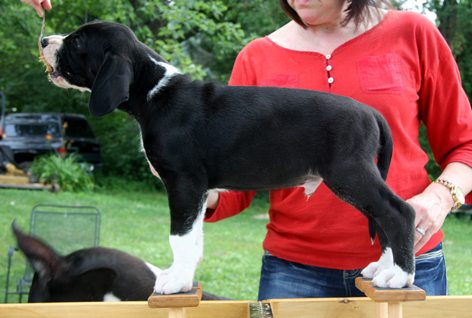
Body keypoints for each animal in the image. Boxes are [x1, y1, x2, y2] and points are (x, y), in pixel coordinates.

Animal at [41, 21, 416, 294]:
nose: (44, 39)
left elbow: (179, 237)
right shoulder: (199, 193)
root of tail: (370, 112)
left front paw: (175, 282)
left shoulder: (183, 184)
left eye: (77, 42)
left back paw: (400, 277)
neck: (152, 91)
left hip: (350, 173)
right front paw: (182, 276)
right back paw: (383, 269)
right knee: (383, 217)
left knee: (399, 212)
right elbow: (193, 238)